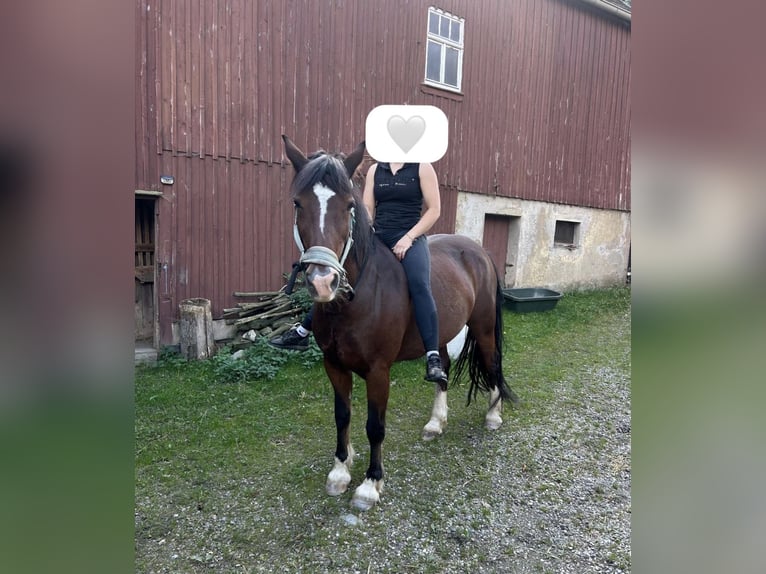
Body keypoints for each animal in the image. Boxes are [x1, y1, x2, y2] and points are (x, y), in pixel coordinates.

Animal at [281, 135, 518, 510]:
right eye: (297, 203)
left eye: (349, 205)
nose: (322, 282)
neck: (357, 298)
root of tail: (477, 250)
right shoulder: (334, 365)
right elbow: (342, 416)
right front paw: (340, 472)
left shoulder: (379, 371)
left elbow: (375, 425)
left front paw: (369, 485)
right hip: (443, 333)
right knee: (442, 369)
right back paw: (435, 423)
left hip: (482, 329)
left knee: (492, 363)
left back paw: (494, 416)